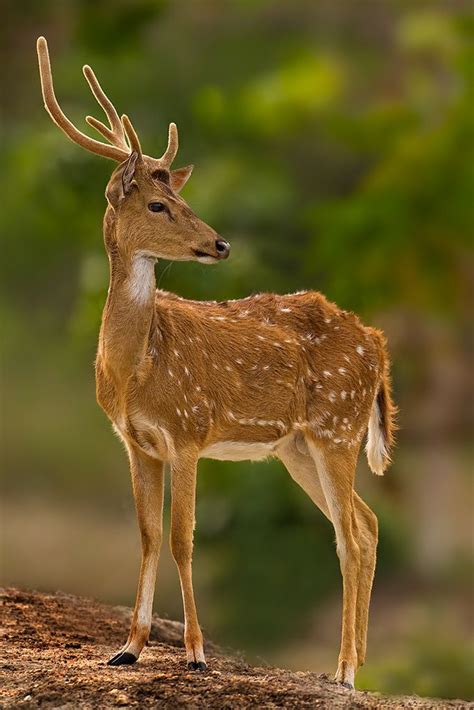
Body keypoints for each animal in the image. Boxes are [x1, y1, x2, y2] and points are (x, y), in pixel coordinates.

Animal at [38, 37, 396, 688]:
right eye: (159, 204)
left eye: (184, 198)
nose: (221, 243)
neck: (134, 370)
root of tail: (378, 346)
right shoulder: (135, 441)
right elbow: (149, 535)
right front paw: (128, 647)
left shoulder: (187, 430)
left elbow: (184, 539)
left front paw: (197, 652)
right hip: (298, 446)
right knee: (366, 523)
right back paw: (350, 666)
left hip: (337, 428)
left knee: (351, 535)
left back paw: (344, 671)